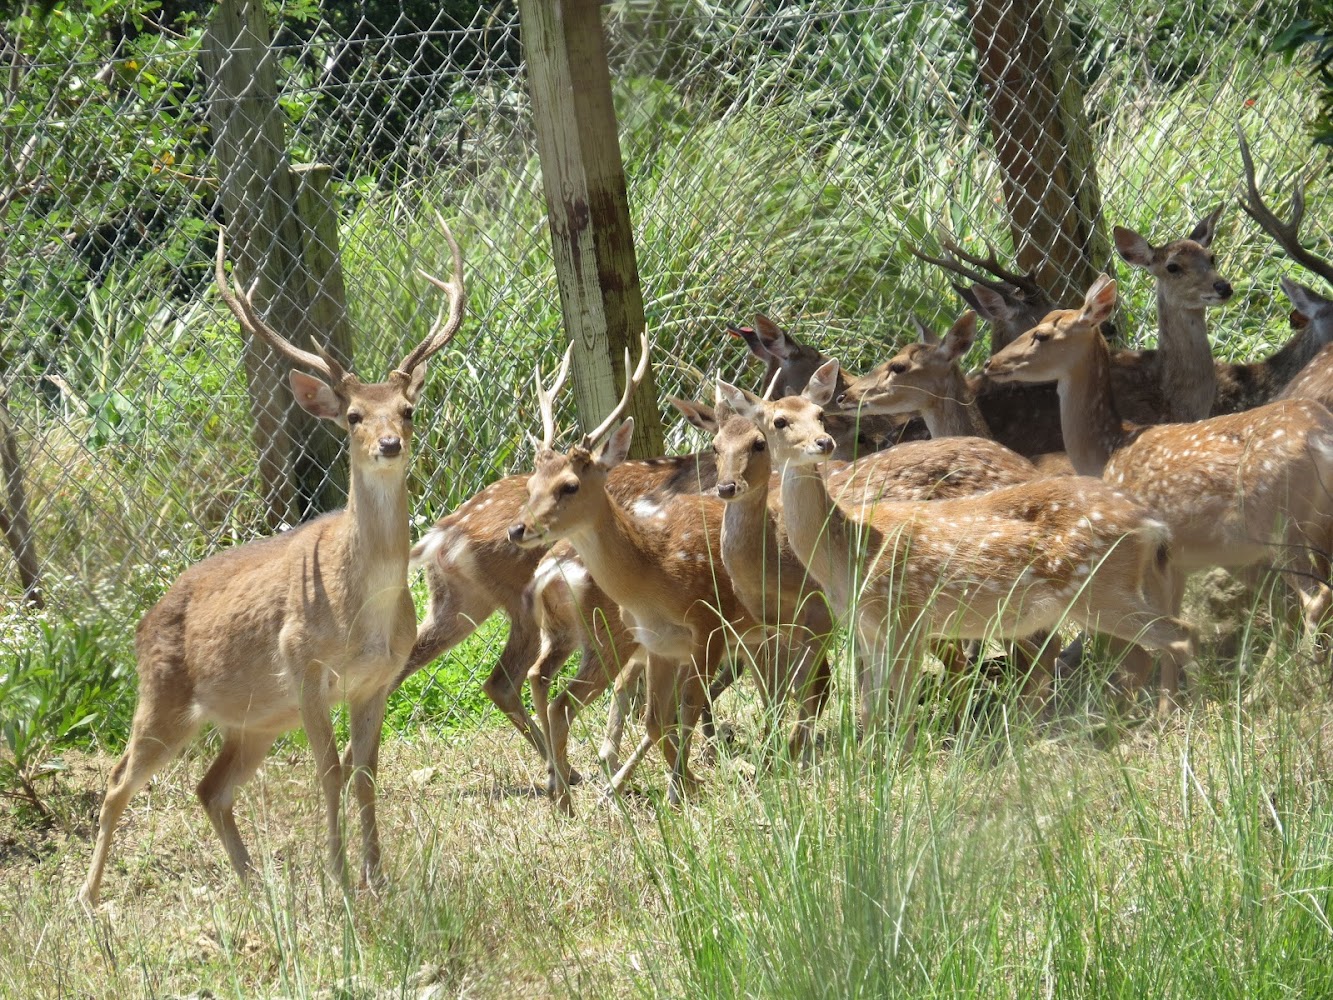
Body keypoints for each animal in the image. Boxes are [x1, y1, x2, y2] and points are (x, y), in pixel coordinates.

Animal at [80, 217, 466, 907]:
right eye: (352, 415)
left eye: (408, 409)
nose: (389, 443)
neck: (363, 610)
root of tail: (141, 623)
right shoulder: (303, 664)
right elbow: (330, 769)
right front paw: (339, 878)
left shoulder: (378, 679)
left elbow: (367, 773)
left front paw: (377, 875)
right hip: (163, 697)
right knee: (119, 779)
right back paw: (90, 896)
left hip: (255, 720)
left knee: (209, 787)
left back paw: (253, 882)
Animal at [719, 360, 1198, 737]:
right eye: (778, 422)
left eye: (820, 414)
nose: (824, 443)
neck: (849, 550)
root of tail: (1149, 522)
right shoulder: (868, 628)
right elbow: (871, 707)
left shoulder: (905, 618)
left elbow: (899, 705)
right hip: (1105, 593)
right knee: (1144, 649)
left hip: (1101, 589)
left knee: (1177, 636)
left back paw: (1161, 720)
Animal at [984, 274, 1333, 710]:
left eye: (1042, 334)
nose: (991, 363)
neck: (1109, 450)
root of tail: (1320, 435)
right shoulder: (1177, 560)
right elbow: (1174, 621)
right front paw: (1172, 702)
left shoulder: (1156, 554)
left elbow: (1167, 630)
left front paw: (1166, 709)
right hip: (1313, 525)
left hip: (1280, 525)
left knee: (1313, 597)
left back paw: (1293, 685)